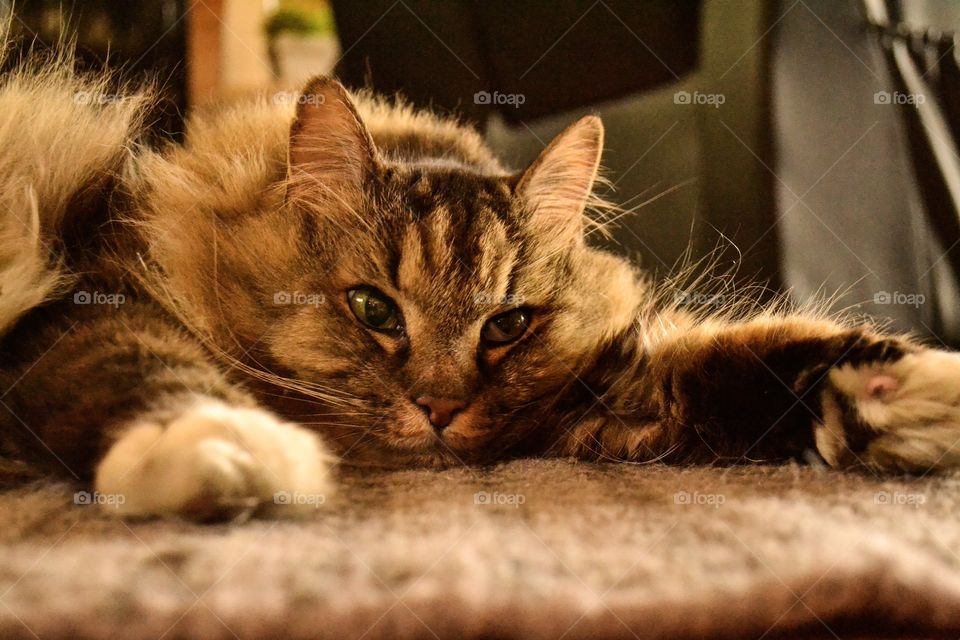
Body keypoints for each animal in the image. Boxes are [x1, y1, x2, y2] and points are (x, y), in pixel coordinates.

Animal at [1, 37, 960, 520]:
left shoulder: (608, 398)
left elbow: (747, 357)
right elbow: (138, 360)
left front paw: (910, 392)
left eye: (507, 325)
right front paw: (227, 450)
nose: (440, 408)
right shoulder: (88, 290)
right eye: (373, 309)